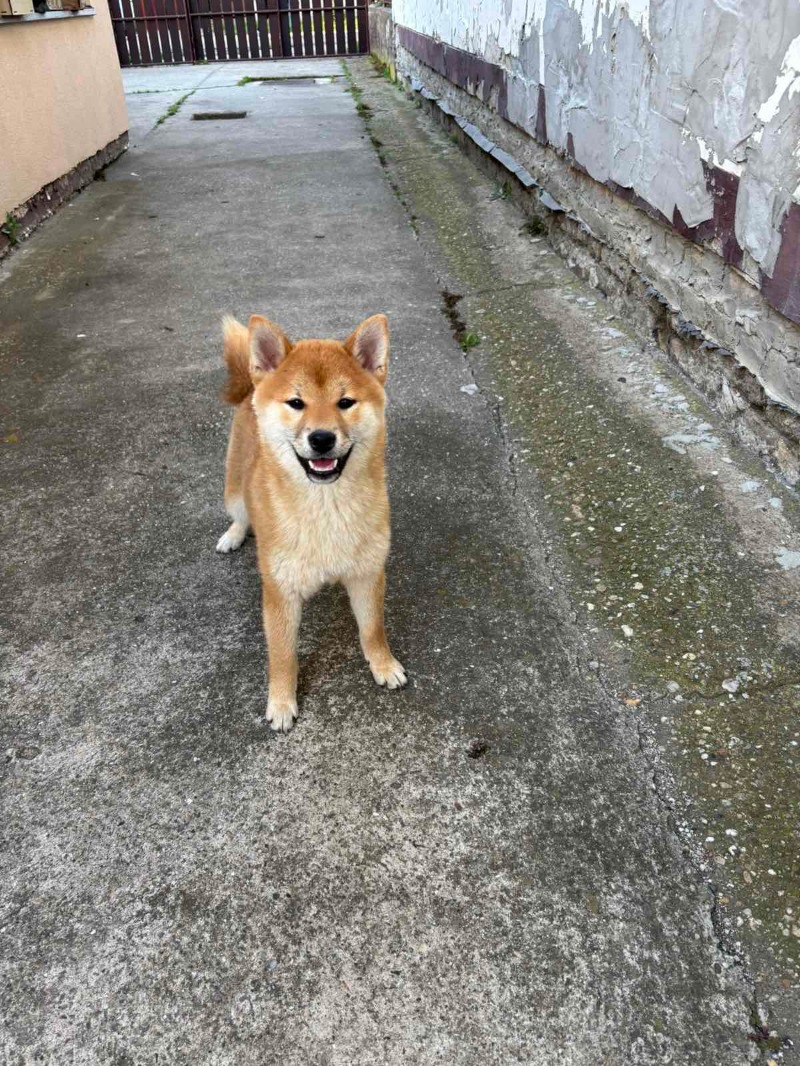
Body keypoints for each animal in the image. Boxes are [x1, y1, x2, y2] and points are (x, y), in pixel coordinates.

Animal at [216, 312, 407, 732]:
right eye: (296, 402)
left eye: (345, 402)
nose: (321, 438)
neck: (325, 508)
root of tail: (250, 389)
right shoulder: (280, 591)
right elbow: (282, 655)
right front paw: (282, 702)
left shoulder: (367, 573)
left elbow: (373, 629)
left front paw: (383, 665)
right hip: (234, 490)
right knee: (240, 515)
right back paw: (233, 536)